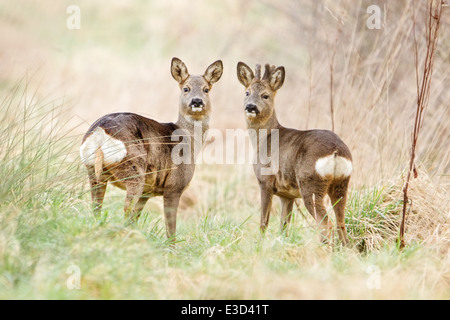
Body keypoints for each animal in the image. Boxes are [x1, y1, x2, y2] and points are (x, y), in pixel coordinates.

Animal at [80, 57, 223, 240]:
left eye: (206, 89)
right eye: (186, 88)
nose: (197, 101)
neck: (190, 141)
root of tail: (100, 133)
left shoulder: (148, 192)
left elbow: (136, 216)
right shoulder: (174, 185)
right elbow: (171, 228)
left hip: (94, 171)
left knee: (98, 206)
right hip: (134, 169)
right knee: (126, 208)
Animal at [237, 62, 354, 245]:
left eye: (265, 95)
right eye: (247, 92)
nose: (250, 107)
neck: (264, 138)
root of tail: (336, 151)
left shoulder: (265, 181)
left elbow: (264, 221)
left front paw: (260, 244)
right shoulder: (287, 195)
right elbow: (284, 225)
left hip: (310, 184)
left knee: (325, 223)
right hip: (341, 184)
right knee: (341, 223)